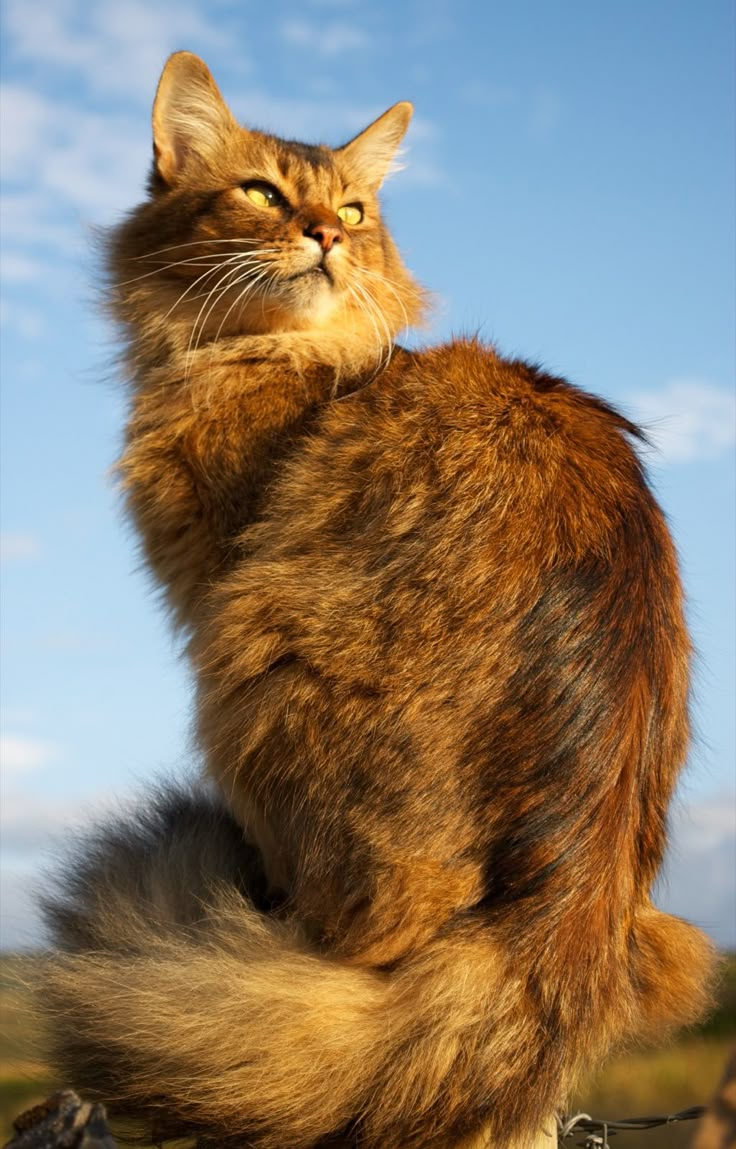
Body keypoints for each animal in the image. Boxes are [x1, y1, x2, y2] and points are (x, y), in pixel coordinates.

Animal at [38, 51, 711, 1149]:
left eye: (352, 211)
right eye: (263, 194)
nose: (324, 235)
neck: (274, 362)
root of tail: (560, 925)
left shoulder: (212, 588)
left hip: (250, 666)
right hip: (666, 935)